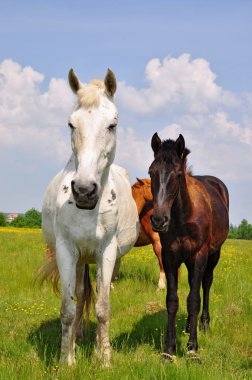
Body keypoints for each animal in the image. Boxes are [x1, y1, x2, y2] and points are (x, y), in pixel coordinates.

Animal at [41, 67, 140, 366]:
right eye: (71, 125)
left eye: (112, 125)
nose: (84, 190)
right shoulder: (66, 251)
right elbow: (68, 308)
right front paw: (67, 360)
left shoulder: (106, 252)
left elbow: (103, 308)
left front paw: (104, 359)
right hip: (80, 260)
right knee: (82, 294)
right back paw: (78, 339)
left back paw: (96, 346)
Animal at [149, 133, 229, 362]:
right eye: (151, 172)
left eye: (177, 174)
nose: (159, 220)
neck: (183, 215)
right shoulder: (170, 257)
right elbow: (173, 300)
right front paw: (169, 350)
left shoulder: (199, 255)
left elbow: (194, 299)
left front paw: (193, 348)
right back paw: (187, 327)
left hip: (213, 255)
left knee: (206, 284)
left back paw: (204, 324)